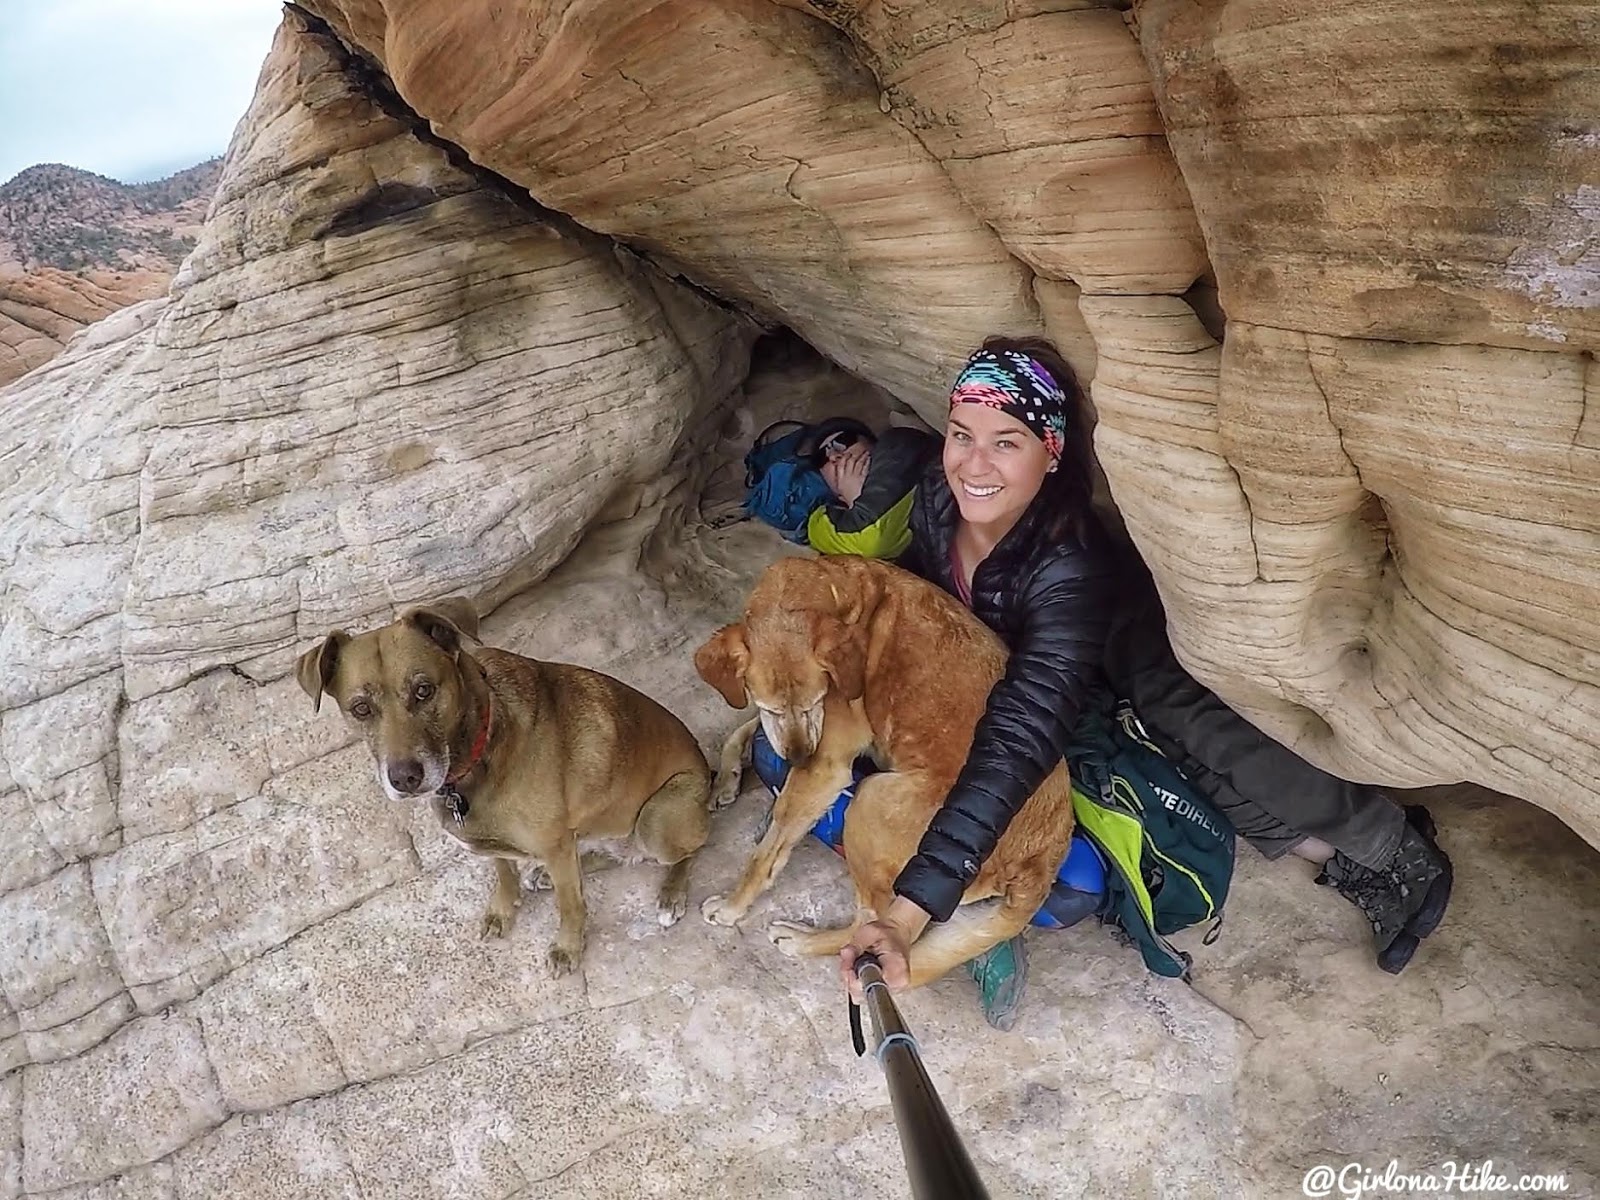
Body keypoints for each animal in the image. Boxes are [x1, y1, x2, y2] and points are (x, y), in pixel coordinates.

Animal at [292, 601, 713, 979]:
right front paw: (503, 909)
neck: (480, 747)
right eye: (361, 708)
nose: (405, 779)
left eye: (424, 690)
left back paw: (671, 893)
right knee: (614, 856)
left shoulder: (555, 844)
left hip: (657, 819)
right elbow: (504, 871)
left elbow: (571, 905)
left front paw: (567, 948)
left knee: (686, 850)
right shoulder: (497, 841)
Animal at [697, 560, 1081, 992]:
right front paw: (726, 778)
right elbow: (747, 727)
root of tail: (1044, 856)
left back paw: (804, 940)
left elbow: (766, 853)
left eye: (815, 701)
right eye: (773, 707)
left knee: (871, 927)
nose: (798, 759)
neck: (831, 593)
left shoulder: (825, 764)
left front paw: (732, 907)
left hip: (870, 803)